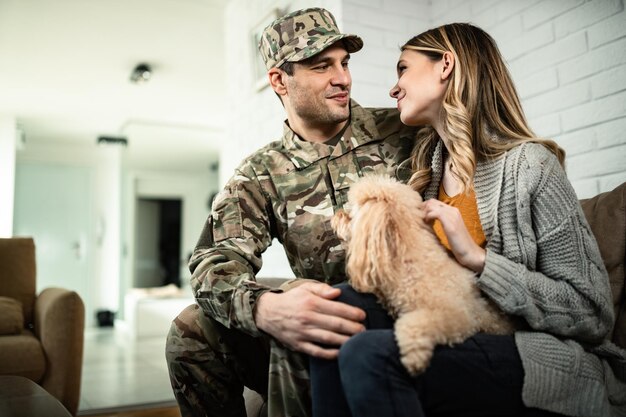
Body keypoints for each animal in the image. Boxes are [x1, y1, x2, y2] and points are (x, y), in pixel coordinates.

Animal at [332, 175, 512, 374]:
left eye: (350, 214)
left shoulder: (459, 316)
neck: (409, 261)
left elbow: (414, 323)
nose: (336, 215)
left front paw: (414, 358)